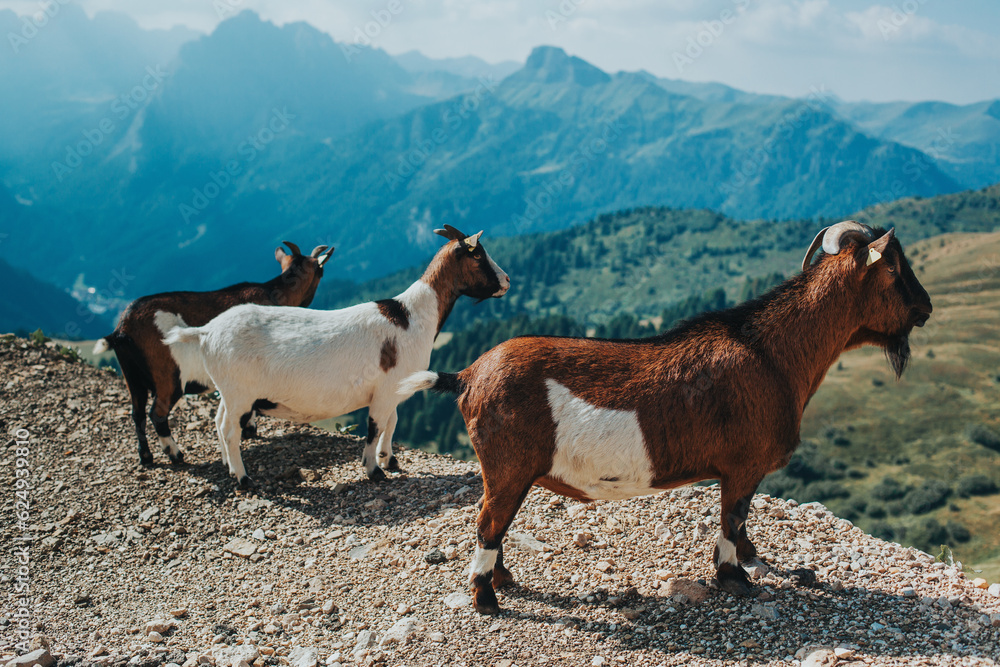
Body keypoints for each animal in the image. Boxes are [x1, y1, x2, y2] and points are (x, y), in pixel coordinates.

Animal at [93, 243, 332, 468]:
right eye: (321, 272)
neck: (274, 292)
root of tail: (122, 330)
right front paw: (249, 430)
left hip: (132, 376)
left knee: (137, 413)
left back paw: (146, 457)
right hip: (167, 376)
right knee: (157, 414)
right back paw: (175, 454)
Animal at [165, 227, 512, 488]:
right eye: (477, 254)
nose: (507, 281)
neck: (410, 316)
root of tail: (206, 332)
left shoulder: (394, 390)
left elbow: (392, 422)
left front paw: (390, 459)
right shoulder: (386, 390)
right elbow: (376, 426)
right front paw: (374, 470)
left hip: (230, 390)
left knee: (219, 421)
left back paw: (228, 465)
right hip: (240, 393)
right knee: (228, 429)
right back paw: (243, 478)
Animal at [402, 223, 932, 616]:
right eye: (894, 267)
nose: (925, 307)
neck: (772, 354)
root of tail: (468, 375)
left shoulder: (743, 470)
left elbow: (741, 520)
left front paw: (752, 561)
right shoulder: (743, 466)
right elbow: (732, 518)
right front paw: (734, 578)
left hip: (508, 472)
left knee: (494, 519)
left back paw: (503, 578)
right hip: (507, 466)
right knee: (488, 523)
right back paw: (487, 599)